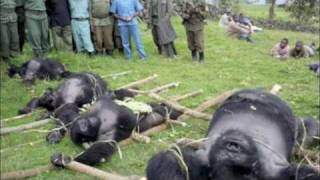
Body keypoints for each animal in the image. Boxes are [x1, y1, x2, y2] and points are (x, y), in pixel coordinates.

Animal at [50, 95, 182, 167]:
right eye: (84, 138)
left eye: (84, 130)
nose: (86, 132)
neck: (97, 119)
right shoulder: (102, 131)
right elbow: (102, 147)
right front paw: (61, 161)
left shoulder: (99, 110)